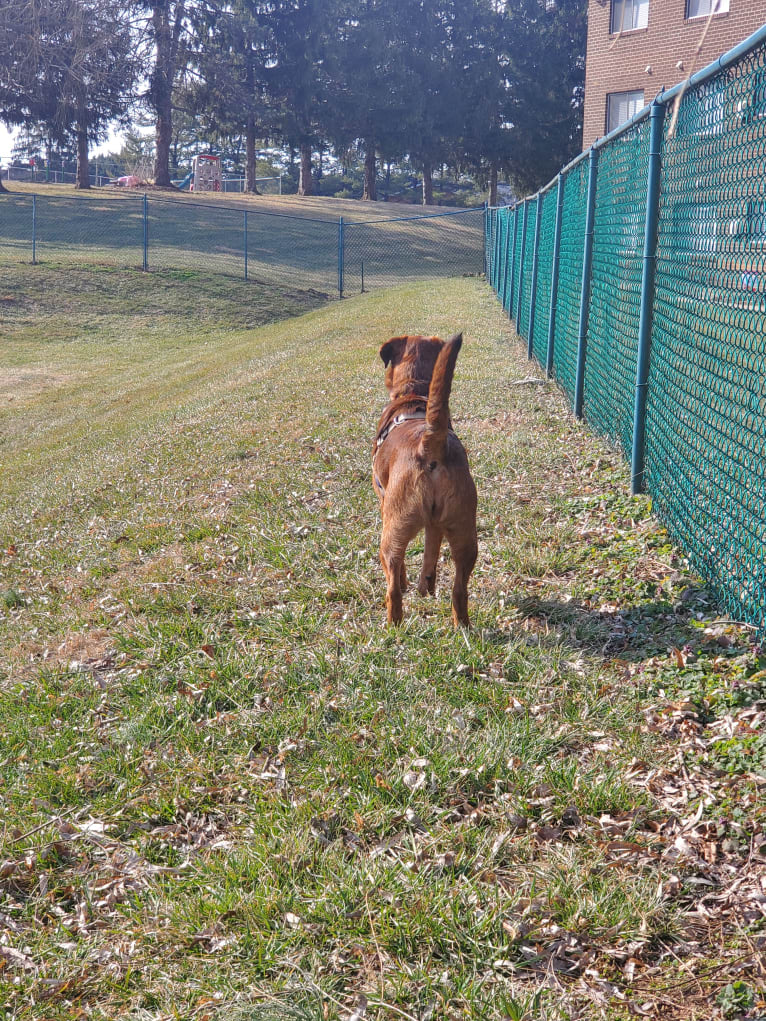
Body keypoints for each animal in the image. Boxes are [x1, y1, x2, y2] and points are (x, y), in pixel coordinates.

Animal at [373, 334, 477, 624]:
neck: (412, 392)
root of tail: (429, 443)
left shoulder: (383, 505)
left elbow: (401, 572)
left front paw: (410, 584)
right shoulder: (436, 524)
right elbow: (431, 553)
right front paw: (425, 586)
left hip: (392, 533)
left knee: (393, 587)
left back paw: (393, 625)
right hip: (465, 533)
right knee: (459, 590)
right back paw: (461, 625)